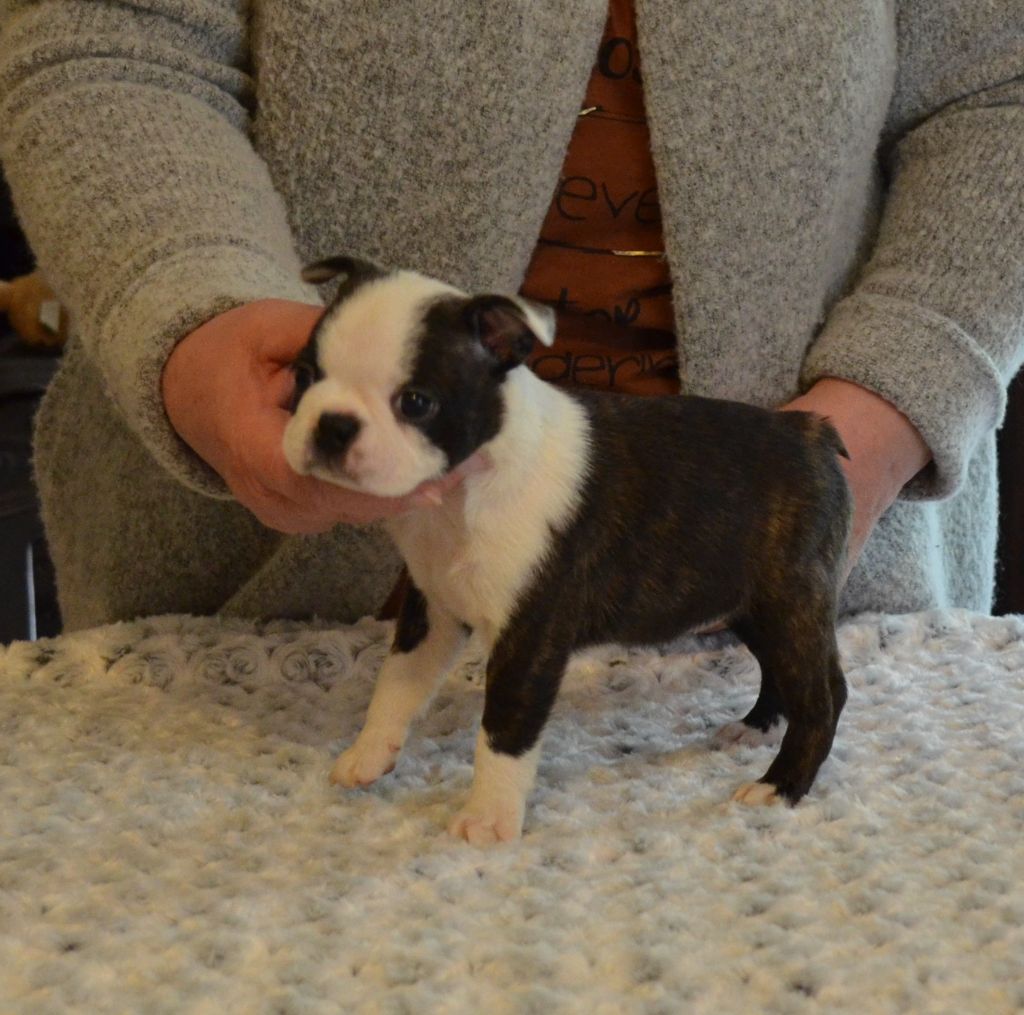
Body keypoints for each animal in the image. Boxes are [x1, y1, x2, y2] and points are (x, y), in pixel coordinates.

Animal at [283, 256, 852, 845]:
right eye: (301, 376)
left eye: (416, 402)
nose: (332, 425)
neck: (464, 493)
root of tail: (809, 431)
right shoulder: (433, 611)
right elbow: (397, 682)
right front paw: (367, 754)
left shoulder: (531, 633)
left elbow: (505, 726)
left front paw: (488, 819)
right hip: (750, 605)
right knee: (781, 672)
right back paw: (753, 728)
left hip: (790, 600)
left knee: (824, 696)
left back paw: (779, 786)